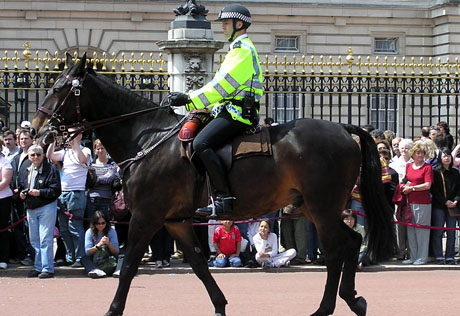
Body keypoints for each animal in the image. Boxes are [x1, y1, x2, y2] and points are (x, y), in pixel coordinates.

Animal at [31, 53, 396, 314]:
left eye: (60, 88)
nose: (37, 130)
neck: (146, 138)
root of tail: (343, 128)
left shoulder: (146, 217)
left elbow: (130, 264)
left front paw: (112, 310)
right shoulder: (175, 221)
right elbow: (198, 264)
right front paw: (220, 305)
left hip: (322, 207)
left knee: (337, 250)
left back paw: (327, 307)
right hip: (313, 207)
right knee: (350, 243)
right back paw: (352, 299)